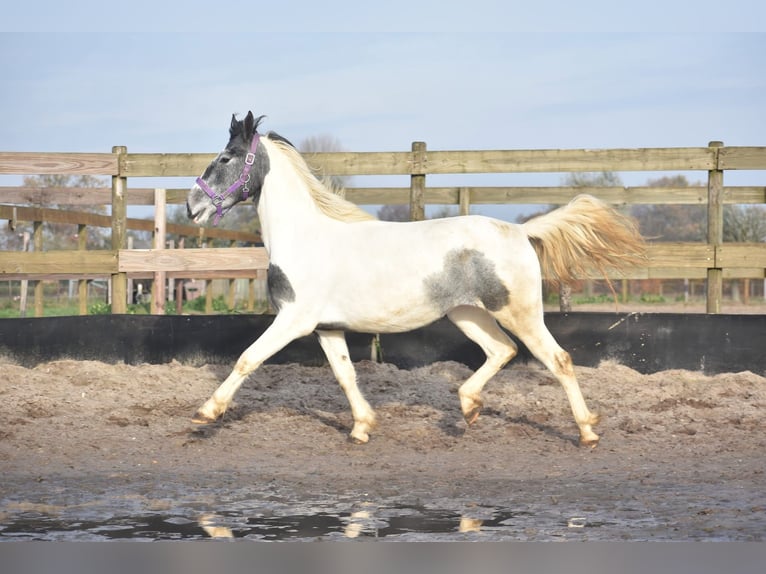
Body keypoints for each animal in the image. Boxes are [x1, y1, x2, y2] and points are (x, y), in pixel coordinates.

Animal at [186, 111, 645, 447]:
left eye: (225, 158)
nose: (193, 207)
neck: (305, 236)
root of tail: (519, 231)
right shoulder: (326, 327)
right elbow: (345, 375)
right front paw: (362, 427)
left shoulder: (293, 320)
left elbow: (247, 358)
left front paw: (206, 412)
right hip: (467, 315)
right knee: (502, 350)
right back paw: (468, 407)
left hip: (521, 313)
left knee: (558, 360)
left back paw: (587, 432)